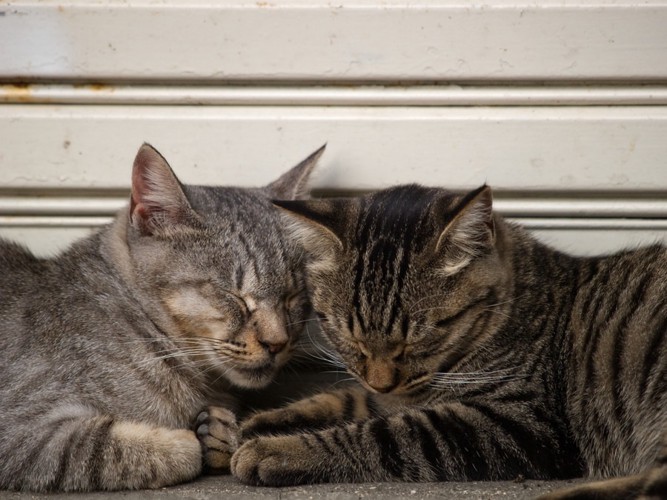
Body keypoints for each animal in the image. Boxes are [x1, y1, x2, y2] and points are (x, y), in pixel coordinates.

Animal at [0, 142, 324, 492]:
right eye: (234, 295)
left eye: (293, 296)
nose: (278, 343)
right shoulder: (21, 431)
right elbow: (110, 448)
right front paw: (192, 440)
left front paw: (219, 433)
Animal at [231, 184, 667, 500]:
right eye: (347, 334)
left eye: (419, 336)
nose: (382, 381)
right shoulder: (387, 395)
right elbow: (348, 399)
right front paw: (266, 421)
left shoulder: (522, 422)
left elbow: (386, 433)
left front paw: (277, 449)